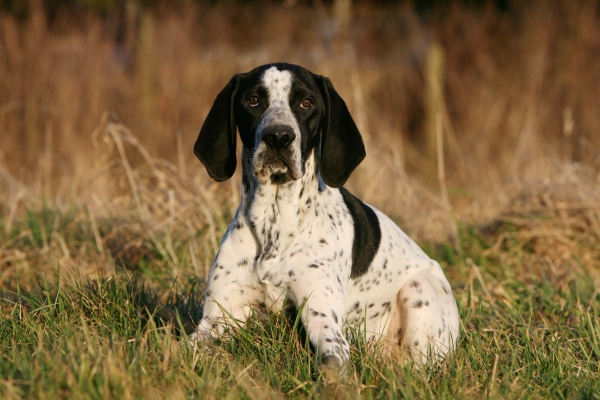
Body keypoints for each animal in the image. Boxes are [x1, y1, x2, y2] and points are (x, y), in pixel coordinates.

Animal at [192, 63, 460, 368]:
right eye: (253, 100)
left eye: (307, 103)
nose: (278, 137)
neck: (274, 226)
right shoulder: (215, 319)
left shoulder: (324, 323)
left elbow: (329, 366)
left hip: (419, 290)